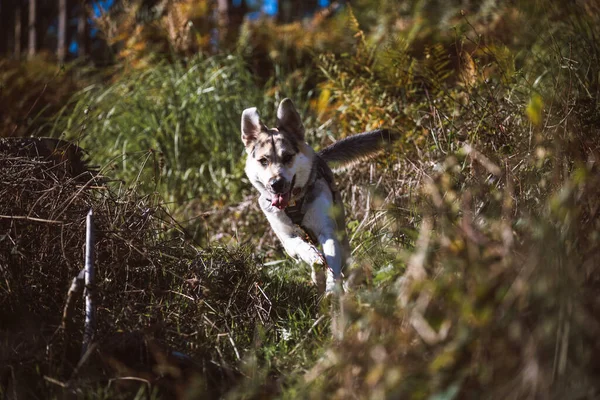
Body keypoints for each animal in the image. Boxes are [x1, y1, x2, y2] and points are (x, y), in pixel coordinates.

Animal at [239, 99, 398, 294]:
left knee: (344, 257)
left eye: (288, 157)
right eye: (263, 161)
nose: (276, 184)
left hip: (341, 228)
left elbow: (332, 260)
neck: (294, 204)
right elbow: (301, 247)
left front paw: (333, 289)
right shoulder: (287, 240)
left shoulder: (327, 230)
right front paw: (312, 257)